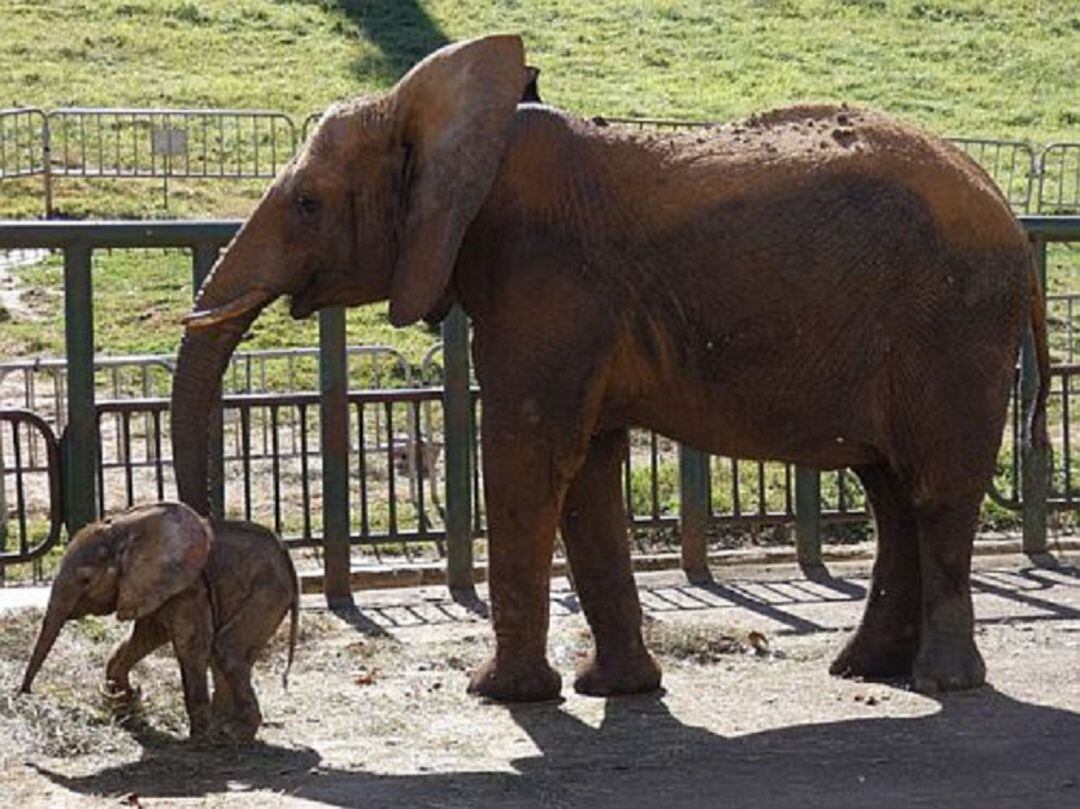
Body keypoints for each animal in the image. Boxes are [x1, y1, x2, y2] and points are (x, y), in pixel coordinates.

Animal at [19, 501, 300, 743]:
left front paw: (199, 737)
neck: (123, 532)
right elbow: (144, 636)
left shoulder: (189, 587)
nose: (26, 693)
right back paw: (225, 730)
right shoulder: (149, 585)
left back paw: (232, 734)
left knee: (225, 650)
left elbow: (189, 646)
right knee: (231, 655)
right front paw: (124, 701)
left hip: (267, 591)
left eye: (85, 579)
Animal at [168, 34, 1045, 699]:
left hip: (955, 326)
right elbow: (587, 470)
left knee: (935, 491)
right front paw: (614, 690)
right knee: (892, 491)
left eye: (308, 203)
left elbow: (528, 454)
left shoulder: (548, 281)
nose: (213, 558)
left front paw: (500, 693)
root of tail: (1009, 213)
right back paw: (863, 669)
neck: (463, 124)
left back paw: (941, 682)